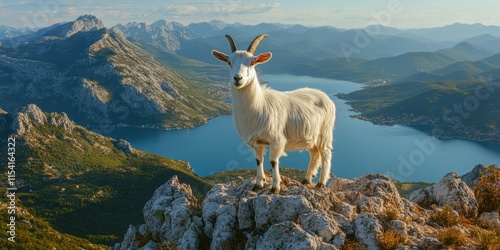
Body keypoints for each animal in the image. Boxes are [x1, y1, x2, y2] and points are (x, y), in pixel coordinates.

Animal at [211, 33, 336, 193]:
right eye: (228, 62)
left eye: (252, 62)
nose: (237, 78)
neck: (259, 104)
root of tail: (324, 95)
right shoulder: (256, 142)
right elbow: (259, 160)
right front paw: (258, 183)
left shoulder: (276, 140)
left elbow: (273, 161)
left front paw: (275, 187)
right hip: (311, 136)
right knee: (314, 154)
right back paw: (307, 179)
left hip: (325, 132)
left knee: (326, 153)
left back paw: (321, 182)